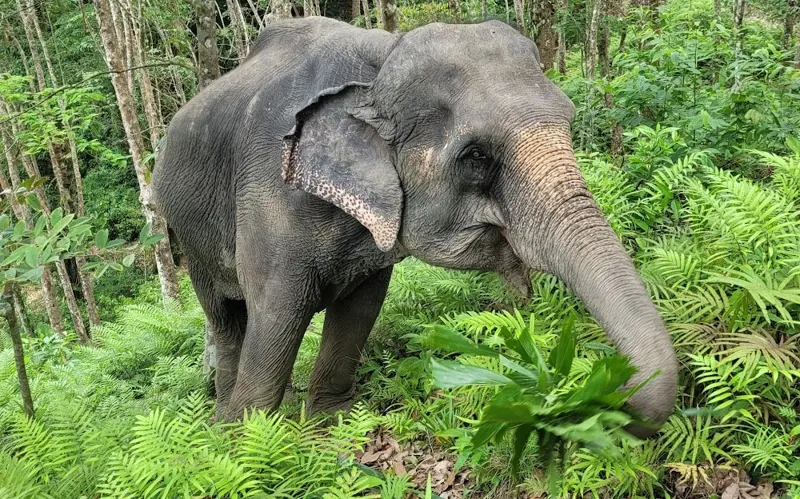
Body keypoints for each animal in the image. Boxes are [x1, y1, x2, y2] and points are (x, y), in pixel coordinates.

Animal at [152, 16, 678, 437]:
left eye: (568, 122)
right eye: (475, 156)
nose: (615, 395)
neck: (382, 56)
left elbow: (360, 309)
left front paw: (332, 422)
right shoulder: (268, 195)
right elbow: (277, 315)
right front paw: (250, 444)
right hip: (186, 234)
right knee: (227, 319)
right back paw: (220, 422)